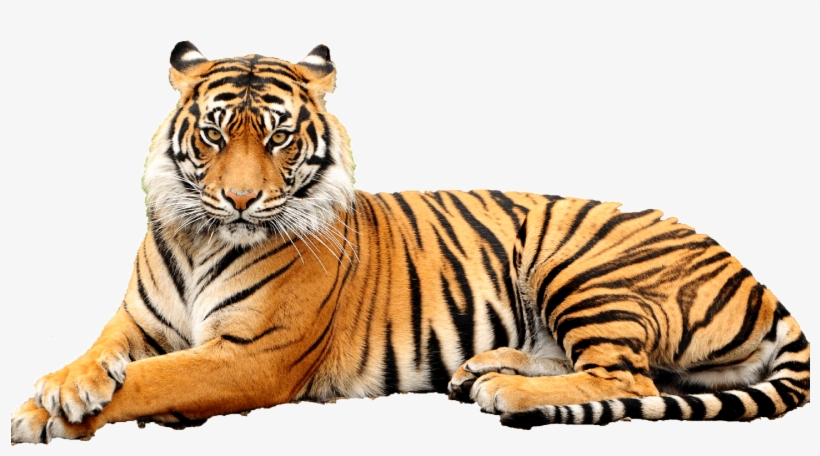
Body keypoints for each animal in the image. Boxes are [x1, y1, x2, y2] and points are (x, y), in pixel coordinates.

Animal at [10, 42, 810, 444]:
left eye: (277, 137)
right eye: (214, 133)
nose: (239, 199)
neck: (202, 237)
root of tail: (758, 280)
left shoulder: (250, 357)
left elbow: (154, 380)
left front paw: (45, 414)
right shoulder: (137, 323)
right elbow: (102, 354)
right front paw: (63, 386)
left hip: (582, 265)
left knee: (630, 379)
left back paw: (506, 389)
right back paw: (482, 369)